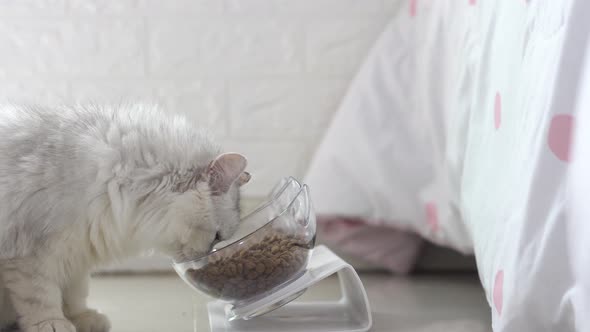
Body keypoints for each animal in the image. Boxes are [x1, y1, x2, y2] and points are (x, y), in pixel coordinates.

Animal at [0, 102, 249, 330]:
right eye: (216, 237)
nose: (204, 261)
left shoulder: (76, 257)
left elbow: (74, 296)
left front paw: (84, 319)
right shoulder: (31, 255)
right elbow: (42, 297)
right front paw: (52, 324)